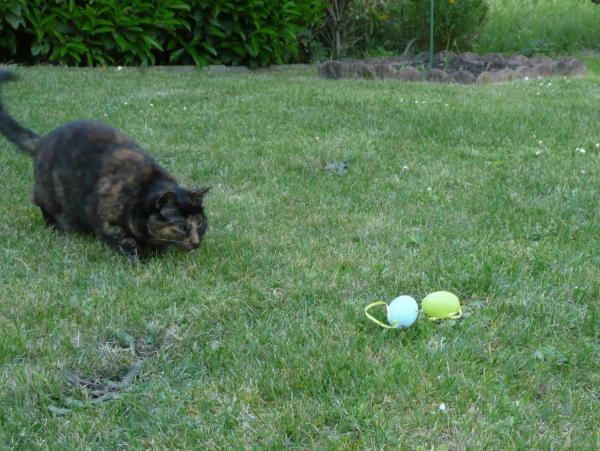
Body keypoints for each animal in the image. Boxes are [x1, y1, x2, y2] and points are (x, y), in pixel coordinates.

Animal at [0, 70, 211, 262]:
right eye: (182, 227)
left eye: (200, 223)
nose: (196, 242)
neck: (143, 191)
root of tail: (44, 140)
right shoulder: (106, 218)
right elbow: (124, 240)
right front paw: (139, 258)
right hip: (50, 194)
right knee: (42, 202)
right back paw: (56, 227)